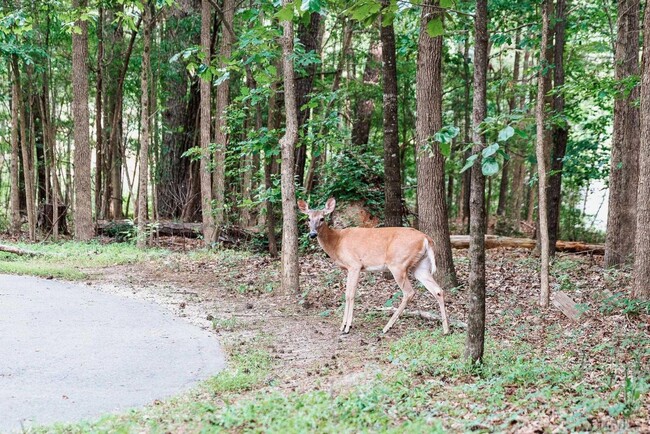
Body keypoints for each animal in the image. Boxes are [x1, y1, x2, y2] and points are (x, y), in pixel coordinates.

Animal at [296, 198, 448, 336]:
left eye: (322, 218)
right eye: (308, 219)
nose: (312, 234)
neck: (337, 243)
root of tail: (426, 239)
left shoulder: (354, 264)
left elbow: (350, 294)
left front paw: (346, 327)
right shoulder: (350, 268)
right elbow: (348, 294)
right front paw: (343, 325)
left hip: (398, 264)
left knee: (409, 292)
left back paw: (386, 328)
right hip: (420, 266)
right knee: (437, 290)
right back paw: (446, 329)